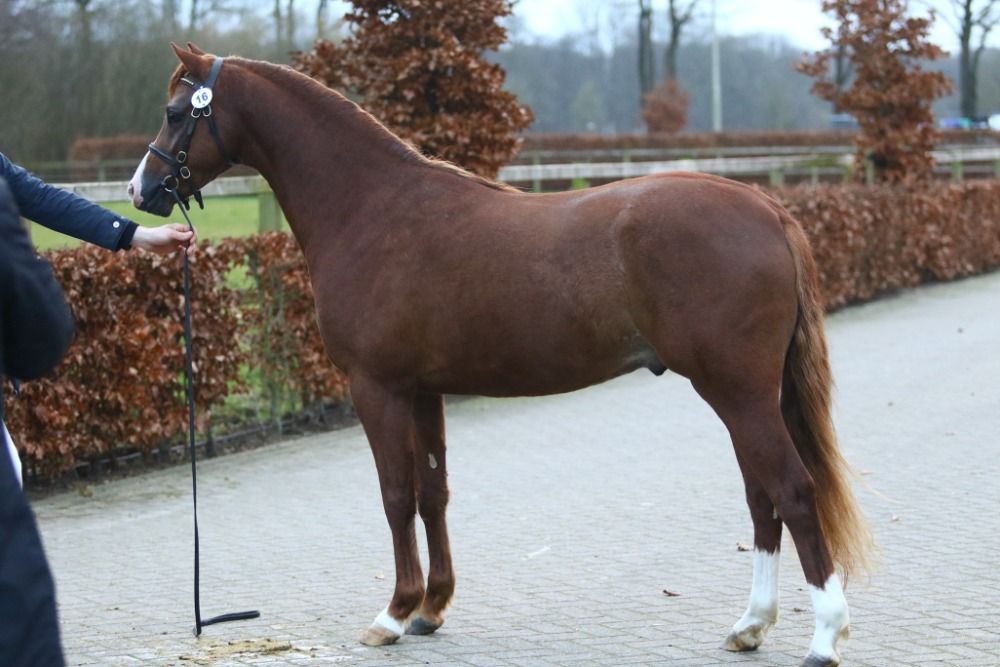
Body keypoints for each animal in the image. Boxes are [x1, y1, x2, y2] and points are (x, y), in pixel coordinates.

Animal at [129, 44, 874, 667]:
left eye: (176, 113)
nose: (141, 191)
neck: (372, 208)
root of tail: (767, 206)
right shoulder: (422, 388)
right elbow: (433, 493)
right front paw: (431, 608)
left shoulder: (378, 386)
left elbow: (395, 495)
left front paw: (392, 614)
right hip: (745, 394)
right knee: (761, 497)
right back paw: (750, 625)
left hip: (737, 391)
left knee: (791, 491)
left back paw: (823, 637)